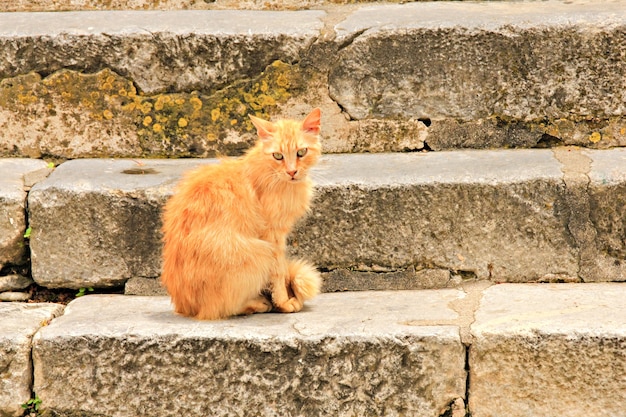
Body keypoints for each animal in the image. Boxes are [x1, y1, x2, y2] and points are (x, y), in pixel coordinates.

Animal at [158, 107, 324, 318]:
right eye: (278, 156)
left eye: (301, 152)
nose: (292, 172)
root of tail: (184, 307)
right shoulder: (273, 236)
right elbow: (278, 273)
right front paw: (283, 302)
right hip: (258, 252)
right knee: (222, 308)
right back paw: (259, 304)